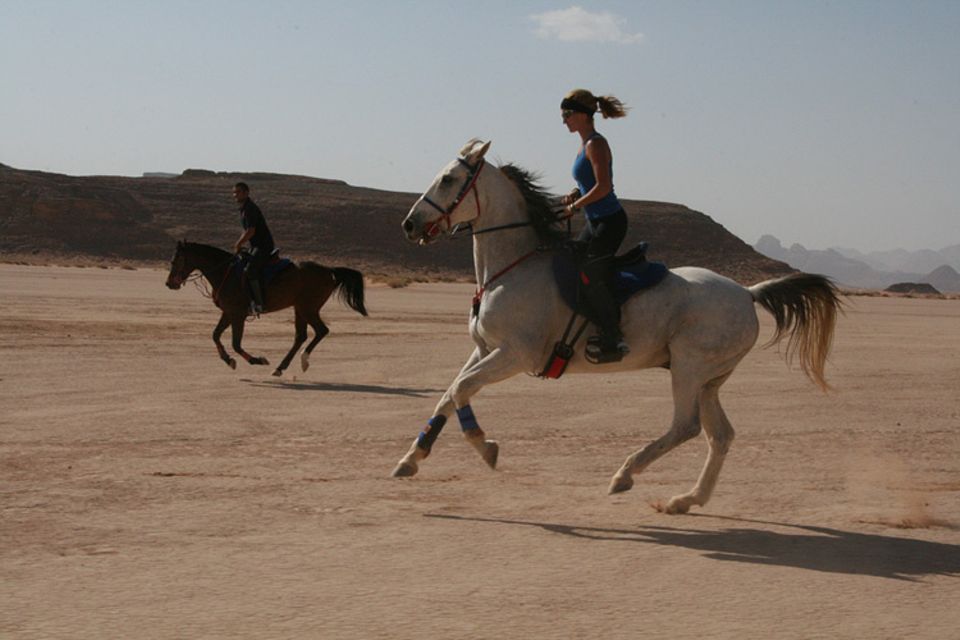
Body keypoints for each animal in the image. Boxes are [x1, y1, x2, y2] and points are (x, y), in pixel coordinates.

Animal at [165, 242, 368, 378]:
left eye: (176, 260)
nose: (169, 283)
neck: (225, 273)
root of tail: (329, 270)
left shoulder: (238, 314)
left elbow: (236, 343)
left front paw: (257, 360)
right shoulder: (228, 312)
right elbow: (215, 335)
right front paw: (228, 360)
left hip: (308, 308)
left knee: (321, 331)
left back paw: (303, 360)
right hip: (300, 308)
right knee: (301, 336)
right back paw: (280, 368)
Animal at [390, 140, 840, 516]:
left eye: (448, 179)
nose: (409, 225)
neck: (510, 267)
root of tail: (748, 292)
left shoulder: (515, 355)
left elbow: (461, 391)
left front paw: (486, 448)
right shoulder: (485, 350)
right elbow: (449, 394)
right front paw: (410, 459)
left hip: (689, 367)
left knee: (686, 426)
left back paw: (625, 475)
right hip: (710, 379)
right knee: (721, 436)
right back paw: (686, 500)